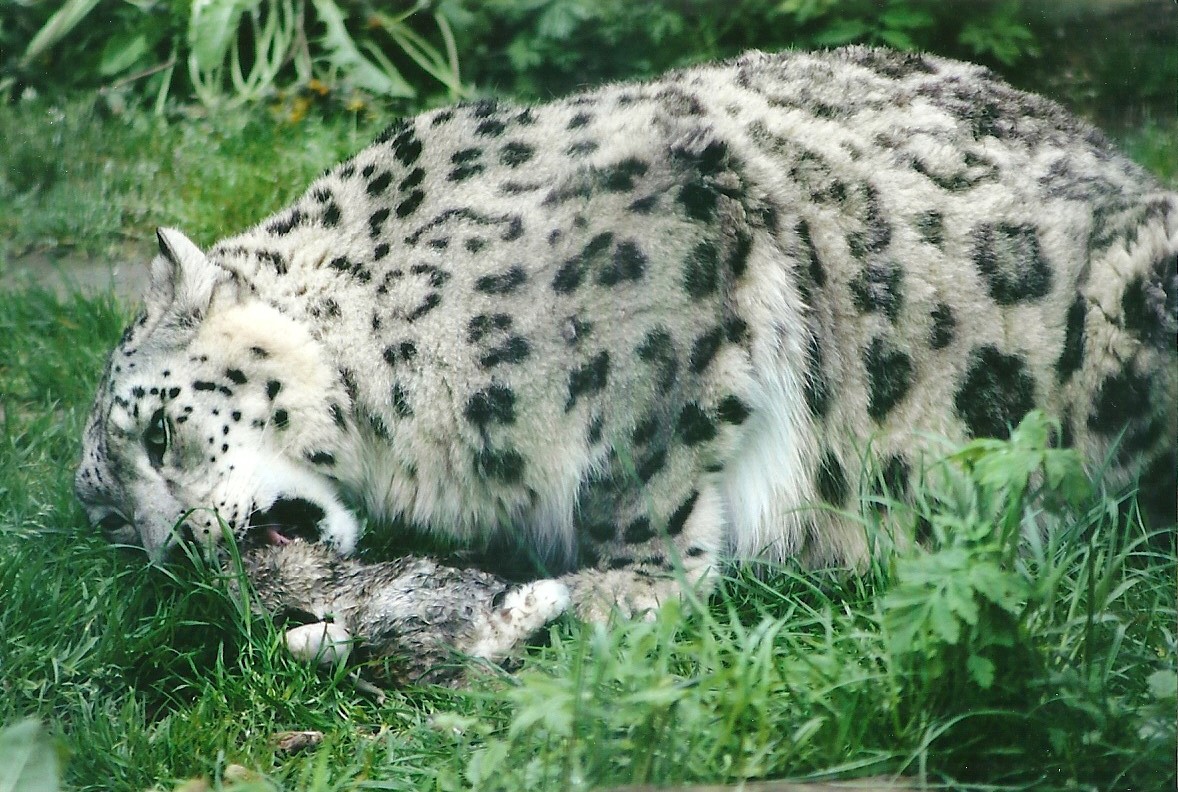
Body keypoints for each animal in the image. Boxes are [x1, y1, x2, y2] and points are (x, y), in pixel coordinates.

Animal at [76, 47, 1176, 644]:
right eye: (111, 521)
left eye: (162, 429)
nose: (177, 553)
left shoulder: (672, 263)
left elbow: (643, 455)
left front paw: (626, 588)